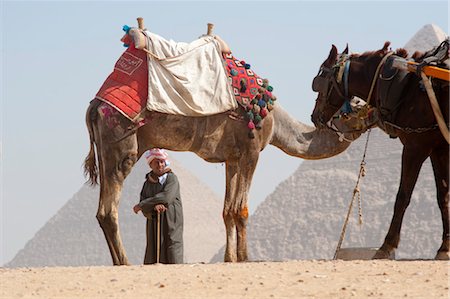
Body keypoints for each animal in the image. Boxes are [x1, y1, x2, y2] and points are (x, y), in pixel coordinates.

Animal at [312, 41, 448, 260]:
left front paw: (387, 246)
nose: (314, 116)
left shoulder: (416, 145)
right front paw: (445, 247)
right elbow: (443, 195)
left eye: (318, 81)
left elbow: (402, 196)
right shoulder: (439, 147)